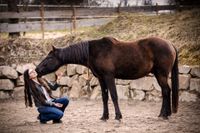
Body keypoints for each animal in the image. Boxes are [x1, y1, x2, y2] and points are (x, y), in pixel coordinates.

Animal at [35, 36, 179, 120]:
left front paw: (118, 116)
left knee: (166, 91)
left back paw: (164, 115)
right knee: (166, 91)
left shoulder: (109, 76)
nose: (37, 69)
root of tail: (170, 44)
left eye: (49, 58)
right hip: (159, 74)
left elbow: (114, 95)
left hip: (161, 74)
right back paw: (164, 114)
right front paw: (104, 116)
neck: (95, 52)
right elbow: (104, 97)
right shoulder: (101, 78)